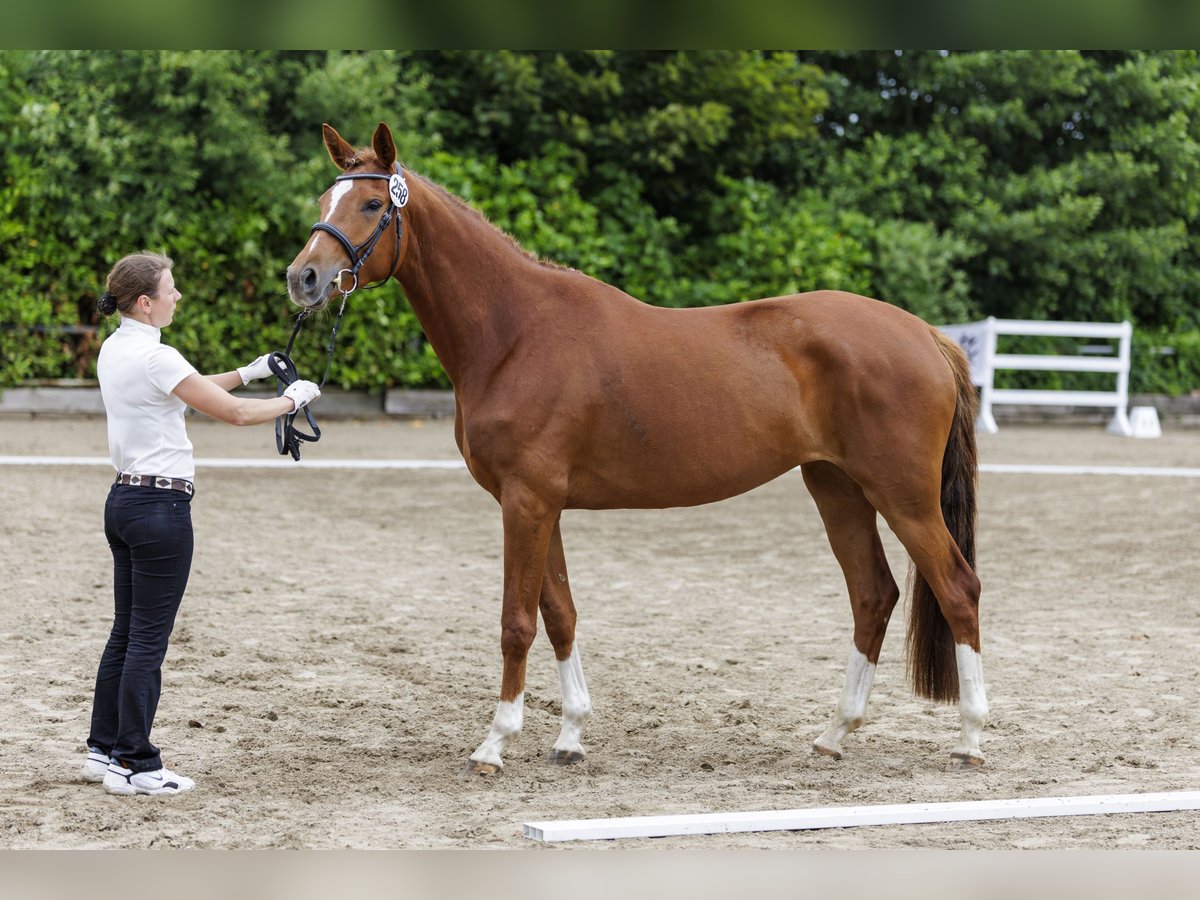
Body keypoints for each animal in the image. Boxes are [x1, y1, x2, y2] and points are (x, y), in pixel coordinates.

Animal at [285, 123, 988, 777]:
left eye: (372, 204)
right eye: (323, 198)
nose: (303, 277)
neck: (515, 333)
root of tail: (925, 334)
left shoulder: (526, 501)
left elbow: (517, 621)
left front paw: (495, 744)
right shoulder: (542, 504)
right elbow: (560, 613)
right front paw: (570, 736)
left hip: (903, 496)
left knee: (958, 588)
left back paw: (971, 740)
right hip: (836, 487)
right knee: (873, 595)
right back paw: (833, 735)